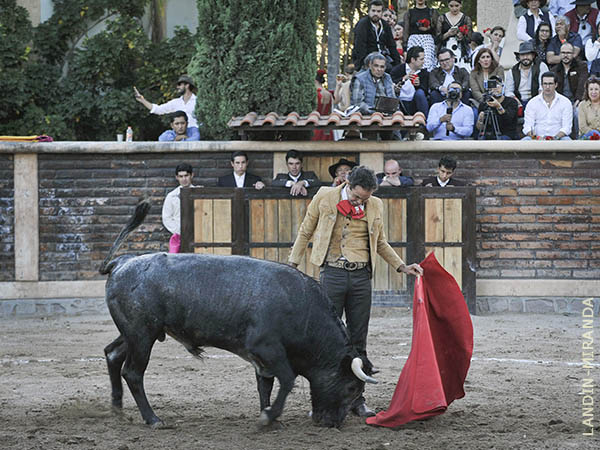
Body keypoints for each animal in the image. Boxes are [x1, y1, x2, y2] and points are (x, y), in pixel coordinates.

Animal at [101, 201, 378, 428]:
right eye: (351, 387)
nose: (333, 423)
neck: (301, 309)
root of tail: (122, 263)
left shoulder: (263, 359)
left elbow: (265, 385)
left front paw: (270, 417)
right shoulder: (267, 348)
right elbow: (287, 380)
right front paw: (269, 416)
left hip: (137, 333)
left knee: (113, 354)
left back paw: (117, 408)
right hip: (141, 335)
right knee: (133, 373)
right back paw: (153, 419)